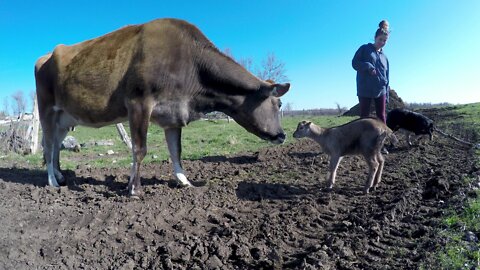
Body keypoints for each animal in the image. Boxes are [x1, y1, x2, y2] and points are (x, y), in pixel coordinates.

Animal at [34, 19, 288, 196]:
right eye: (278, 103)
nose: (283, 135)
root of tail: (46, 55)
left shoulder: (173, 114)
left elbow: (176, 151)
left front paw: (185, 181)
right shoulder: (138, 103)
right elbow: (139, 149)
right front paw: (135, 189)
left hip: (64, 118)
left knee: (55, 146)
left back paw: (61, 176)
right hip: (46, 110)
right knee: (48, 146)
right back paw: (53, 182)